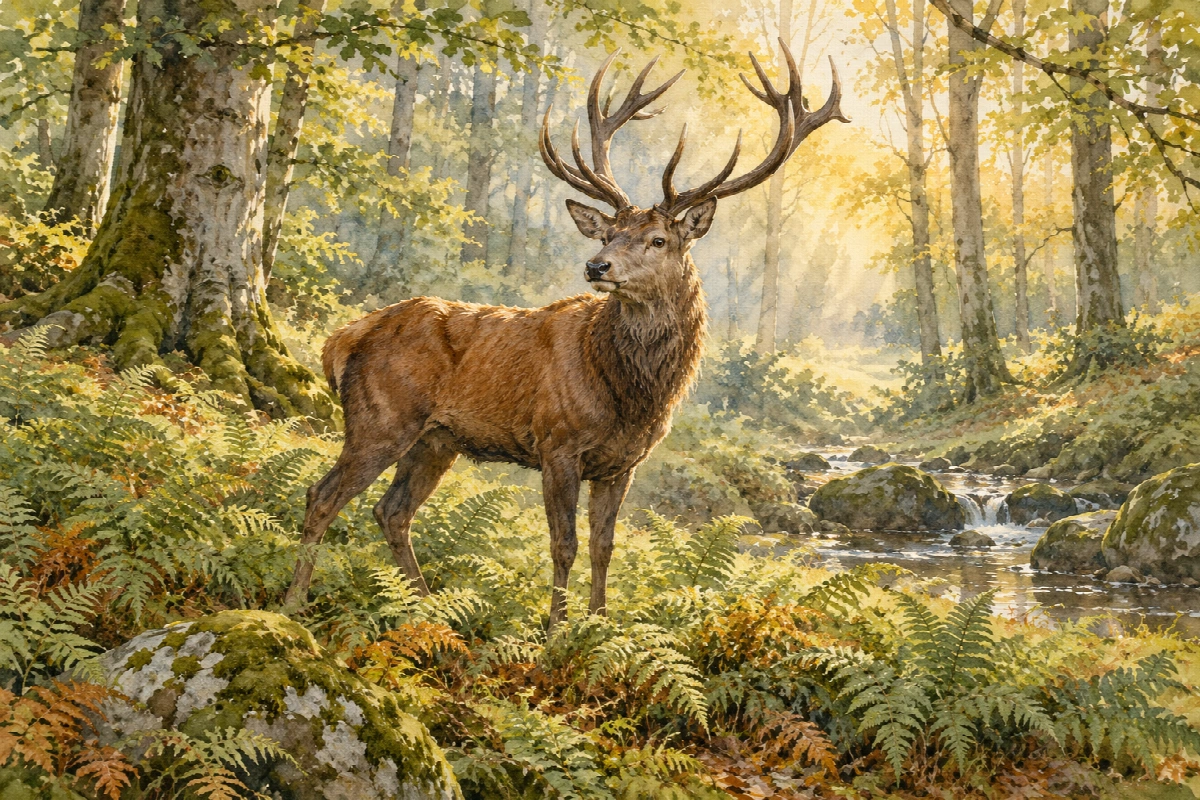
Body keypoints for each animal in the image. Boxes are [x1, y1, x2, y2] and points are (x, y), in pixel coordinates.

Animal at [283, 42, 847, 628]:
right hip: (380, 420)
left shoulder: (623, 463)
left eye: (659, 239)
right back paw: (295, 603)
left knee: (391, 511)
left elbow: (604, 546)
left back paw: (429, 610)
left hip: (435, 440)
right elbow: (563, 545)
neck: (632, 393)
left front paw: (598, 625)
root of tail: (343, 337)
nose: (597, 266)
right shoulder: (557, 443)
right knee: (321, 494)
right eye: (607, 233)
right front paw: (555, 630)